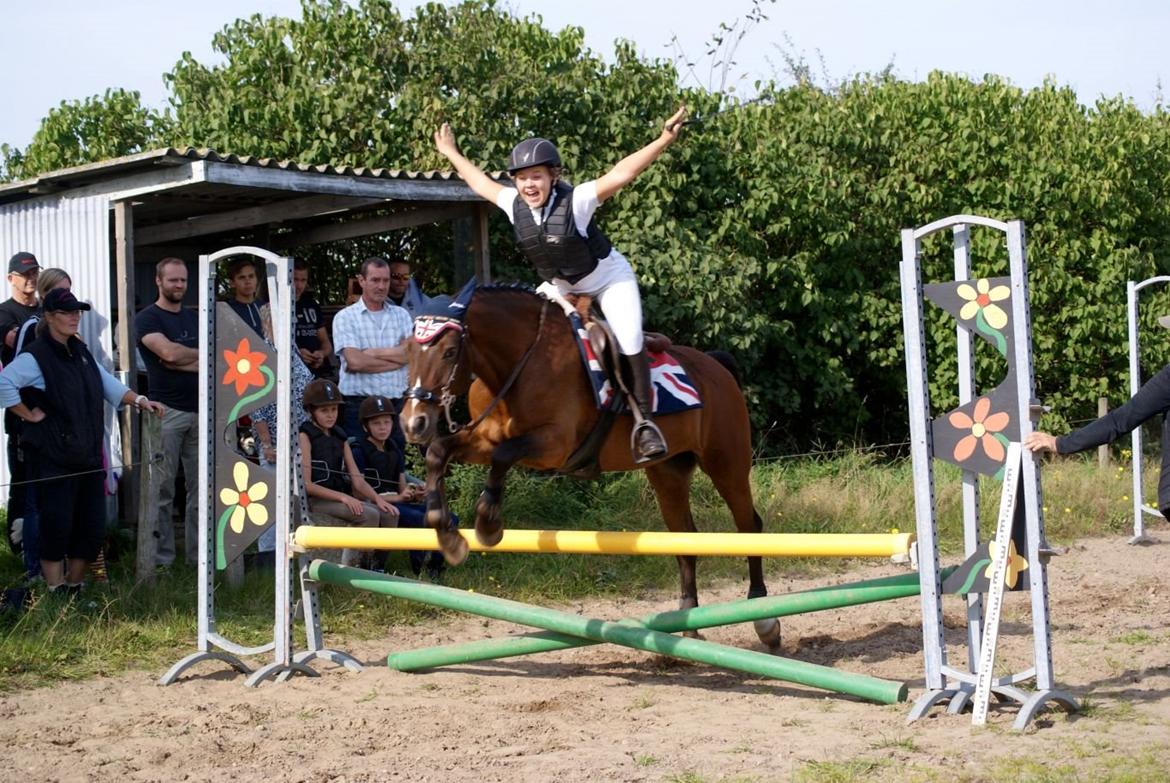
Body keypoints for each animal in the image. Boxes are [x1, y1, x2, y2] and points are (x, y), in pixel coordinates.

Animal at [400, 285, 776, 646]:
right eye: (408, 350)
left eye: (450, 351)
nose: (413, 422)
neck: (519, 363)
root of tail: (715, 365)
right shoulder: (483, 438)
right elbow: (438, 453)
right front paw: (447, 535)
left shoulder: (553, 444)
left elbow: (503, 456)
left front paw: (488, 524)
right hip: (667, 473)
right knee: (684, 539)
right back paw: (688, 624)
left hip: (726, 463)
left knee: (749, 526)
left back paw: (765, 619)